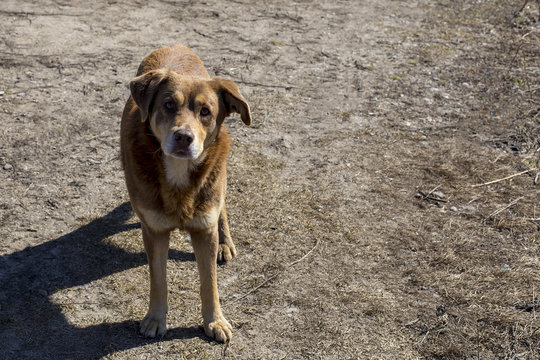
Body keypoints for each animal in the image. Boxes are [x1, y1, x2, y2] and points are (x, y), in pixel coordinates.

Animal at [120, 43, 251, 342]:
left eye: (205, 111)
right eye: (168, 105)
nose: (183, 137)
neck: (178, 174)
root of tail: (175, 46)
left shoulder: (204, 229)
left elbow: (209, 283)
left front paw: (215, 321)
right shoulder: (154, 231)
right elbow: (158, 279)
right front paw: (155, 319)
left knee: (222, 205)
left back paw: (225, 242)